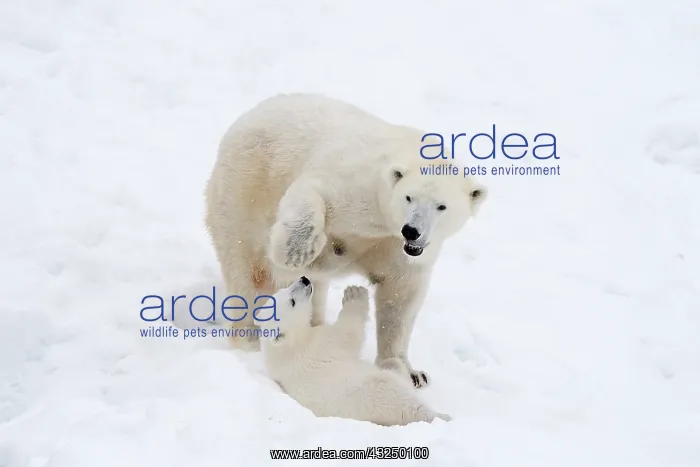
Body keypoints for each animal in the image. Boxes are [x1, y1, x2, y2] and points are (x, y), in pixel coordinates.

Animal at [204, 93, 487, 388]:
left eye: (442, 206)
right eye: (409, 197)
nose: (412, 231)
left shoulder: (397, 247)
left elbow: (401, 295)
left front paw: (407, 370)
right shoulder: (356, 183)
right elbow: (311, 192)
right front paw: (296, 251)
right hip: (243, 190)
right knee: (247, 271)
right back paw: (249, 338)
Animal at [257, 277, 452, 426]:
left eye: (284, 289)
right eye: (292, 302)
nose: (304, 279)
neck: (287, 348)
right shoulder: (319, 345)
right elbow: (348, 333)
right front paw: (354, 293)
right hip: (383, 396)